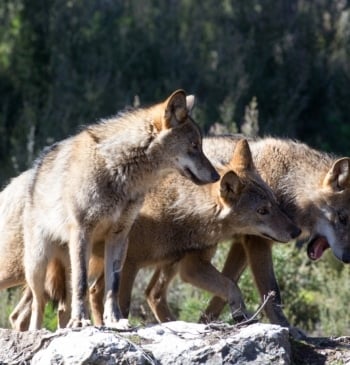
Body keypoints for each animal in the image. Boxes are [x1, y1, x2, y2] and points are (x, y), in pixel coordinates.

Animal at [20, 89, 219, 330]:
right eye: (194, 146)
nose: (216, 176)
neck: (117, 170)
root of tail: (35, 171)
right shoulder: (82, 231)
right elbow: (82, 283)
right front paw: (82, 320)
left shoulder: (119, 236)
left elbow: (113, 286)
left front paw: (114, 320)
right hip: (38, 265)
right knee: (37, 303)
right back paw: (37, 330)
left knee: (61, 305)